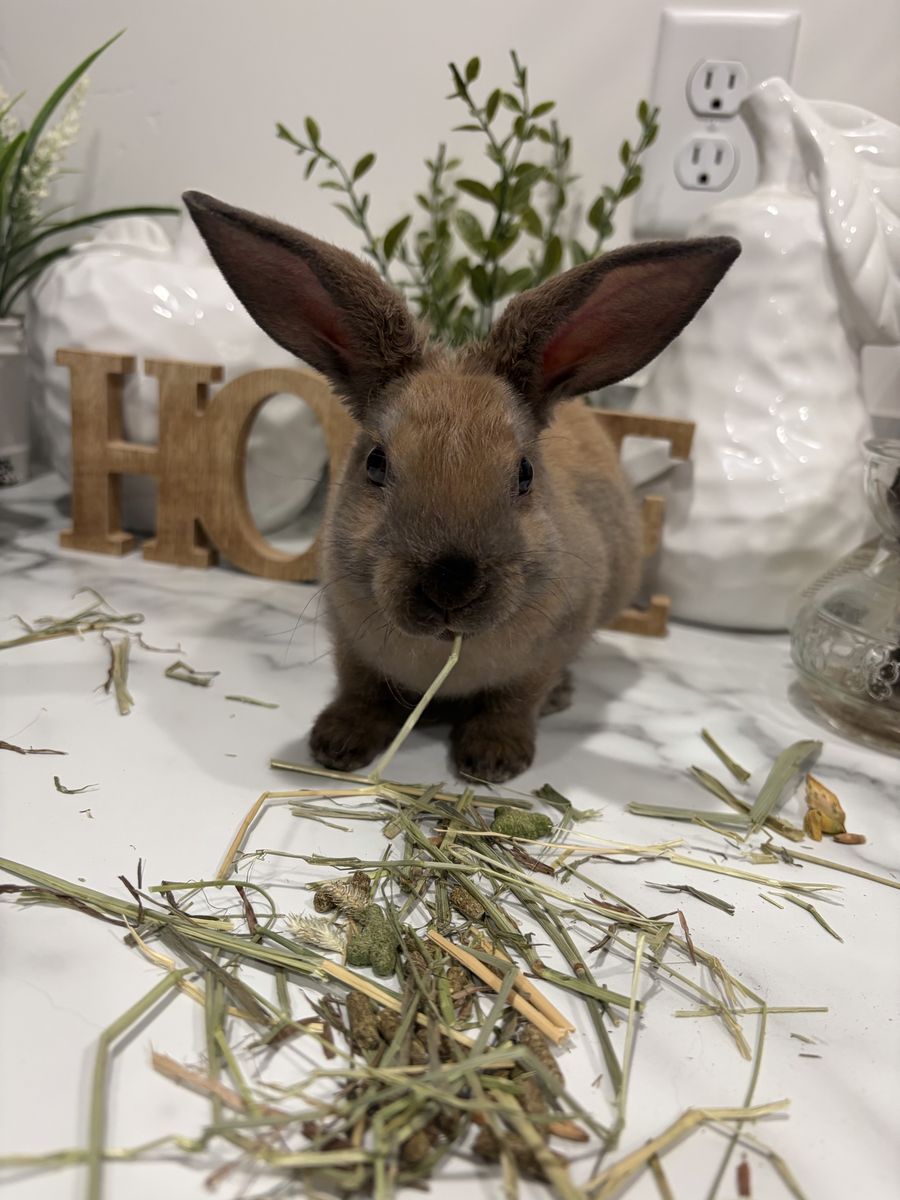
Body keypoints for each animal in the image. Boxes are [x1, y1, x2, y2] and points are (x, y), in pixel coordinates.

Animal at [185, 191, 739, 782]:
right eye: (376, 463)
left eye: (525, 473)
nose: (450, 583)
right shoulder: (348, 640)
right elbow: (359, 689)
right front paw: (336, 745)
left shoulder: (550, 647)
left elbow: (514, 700)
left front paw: (493, 760)